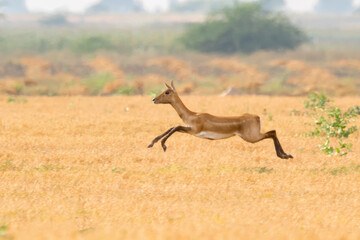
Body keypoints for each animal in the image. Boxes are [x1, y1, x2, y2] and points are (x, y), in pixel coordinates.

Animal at [148, 81, 294, 159]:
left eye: (167, 92)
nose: (154, 99)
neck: (192, 115)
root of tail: (257, 117)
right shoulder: (189, 130)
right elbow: (172, 127)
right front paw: (152, 143)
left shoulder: (193, 130)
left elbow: (175, 127)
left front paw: (163, 145)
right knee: (273, 132)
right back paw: (285, 155)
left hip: (252, 137)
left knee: (272, 132)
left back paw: (284, 155)